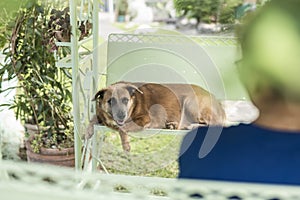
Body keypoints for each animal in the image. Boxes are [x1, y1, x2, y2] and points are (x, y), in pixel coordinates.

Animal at [85, 82, 224, 151]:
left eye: (125, 100)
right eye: (110, 101)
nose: (121, 115)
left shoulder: (144, 119)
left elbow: (122, 128)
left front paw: (126, 145)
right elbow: (93, 119)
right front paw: (87, 132)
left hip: (191, 102)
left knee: (215, 124)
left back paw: (191, 126)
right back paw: (173, 125)